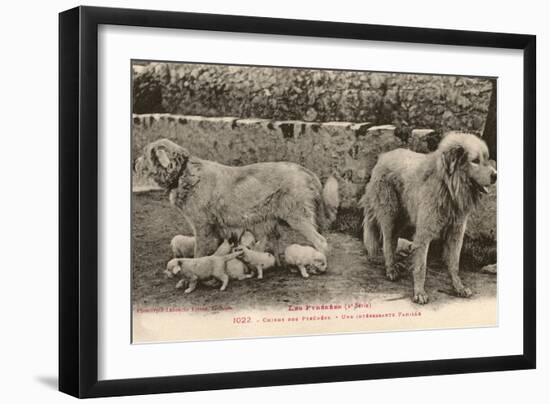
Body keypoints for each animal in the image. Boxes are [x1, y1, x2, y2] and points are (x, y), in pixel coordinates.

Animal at [134, 139, 340, 258]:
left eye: (144, 154)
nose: (134, 162)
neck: (183, 172)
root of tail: (306, 171)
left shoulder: (202, 227)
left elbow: (199, 253)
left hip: (298, 217)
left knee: (320, 241)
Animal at [362, 133, 500, 304]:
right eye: (475, 161)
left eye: (487, 158)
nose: (495, 175)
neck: (447, 186)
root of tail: (383, 157)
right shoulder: (424, 232)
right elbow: (421, 266)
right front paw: (419, 292)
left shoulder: (456, 233)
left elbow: (454, 264)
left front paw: (458, 287)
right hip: (390, 215)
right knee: (387, 242)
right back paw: (391, 269)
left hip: (402, 217)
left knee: (393, 240)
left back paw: (394, 264)